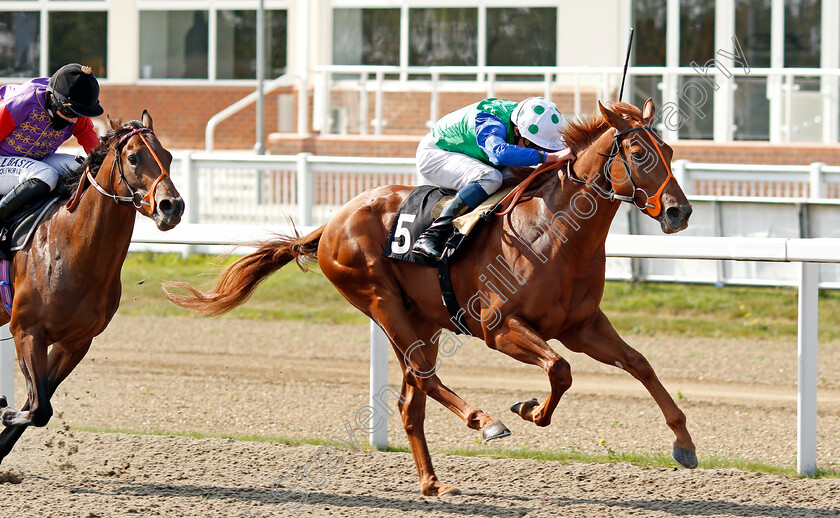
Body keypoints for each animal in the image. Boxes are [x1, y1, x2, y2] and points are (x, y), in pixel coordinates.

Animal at [0, 112, 182, 468]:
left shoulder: (75, 343)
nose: (172, 206)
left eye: (168, 156)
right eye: (133, 157)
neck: (72, 249)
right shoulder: (26, 331)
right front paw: (3, 408)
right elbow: (37, 407)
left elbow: (37, 406)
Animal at [164, 100, 696, 496]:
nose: (680, 212)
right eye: (640, 154)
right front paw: (527, 410)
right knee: (424, 377)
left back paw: (433, 483)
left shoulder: (581, 325)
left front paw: (684, 442)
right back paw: (484, 421)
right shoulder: (498, 327)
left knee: (409, 403)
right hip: (381, 303)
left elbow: (639, 363)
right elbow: (560, 370)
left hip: (424, 321)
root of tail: (331, 222)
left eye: (669, 149)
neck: (552, 232)